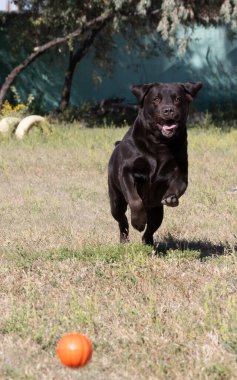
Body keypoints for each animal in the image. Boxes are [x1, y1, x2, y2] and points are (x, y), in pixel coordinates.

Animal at [108, 81, 202, 245]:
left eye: (178, 99)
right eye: (156, 99)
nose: (168, 110)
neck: (159, 144)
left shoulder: (180, 171)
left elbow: (179, 184)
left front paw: (171, 198)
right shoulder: (127, 171)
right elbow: (135, 200)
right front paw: (138, 222)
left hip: (157, 210)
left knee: (151, 228)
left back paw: (148, 243)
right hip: (116, 200)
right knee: (122, 220)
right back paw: (125, 239)